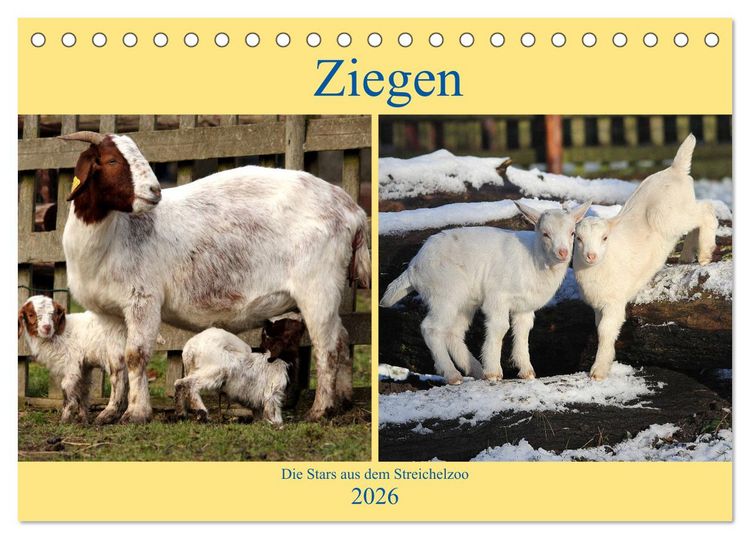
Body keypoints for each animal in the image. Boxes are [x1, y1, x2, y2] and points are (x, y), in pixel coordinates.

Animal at [18, 295, 129, 424]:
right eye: (31, 314)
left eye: (53, 313)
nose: (47, 327)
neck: (60, 333)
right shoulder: (84, 366)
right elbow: (83, 391)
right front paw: (82, 419)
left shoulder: (72, 364)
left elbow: (66, 389)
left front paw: (64, 420)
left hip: (115, 354)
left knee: (119, 382)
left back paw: (107, 416)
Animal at [174, 317, 306, 425]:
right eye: (288, 322)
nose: (302, 321)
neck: (281, 358)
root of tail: (190, 348)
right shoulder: (273, 392)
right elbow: (274, 410)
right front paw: (277, 424)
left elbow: (258, 411)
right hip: (218, 371)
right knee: (188, 384)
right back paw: (202, 413)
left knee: (179, 384)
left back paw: (181, 413)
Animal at [380, 201, 591, 383]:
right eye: (545, 234)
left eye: (573, 233)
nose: (563, 252)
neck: (533, 258)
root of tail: (413, 268)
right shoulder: (497, 296)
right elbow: (500, 327)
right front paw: (494, 373)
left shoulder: (524, 306)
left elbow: (522, 332)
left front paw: (527, 371)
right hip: (445, 293)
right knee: (431, 328)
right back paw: (453, 375)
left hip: (464, 301)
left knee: (453, 332)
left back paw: (475, 369)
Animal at [573, 134, 718, 380]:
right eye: (578, 238)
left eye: (604, 238)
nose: (591, 255)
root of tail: (675, 169)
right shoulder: (598, 305)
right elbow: (601, 329)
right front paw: (607, 362)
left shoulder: (613, 301)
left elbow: (605, 331)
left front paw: (598, 371)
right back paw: (687, 256)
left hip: (668, 216)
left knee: (707, 211)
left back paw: (706, 254)